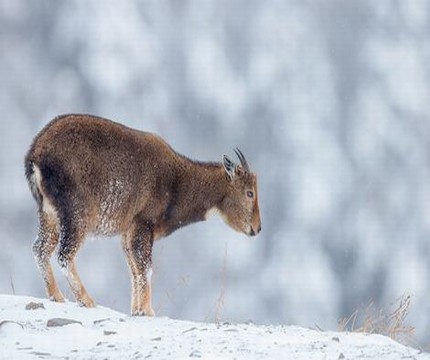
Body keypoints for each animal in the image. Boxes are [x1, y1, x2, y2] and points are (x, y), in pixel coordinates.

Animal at [26, 114, 262, 316]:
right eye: (249, 192)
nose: (257, 228)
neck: (178, 184)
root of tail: (36, 155)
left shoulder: (128, 232)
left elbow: (134, 270)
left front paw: (137, 310)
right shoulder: (144, 223)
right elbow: (145, 268)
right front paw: (148, 311)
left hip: (49, 213)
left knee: (40, 249)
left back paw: (56, 296)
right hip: (78, 213)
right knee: (64, 255)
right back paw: (87, 301)